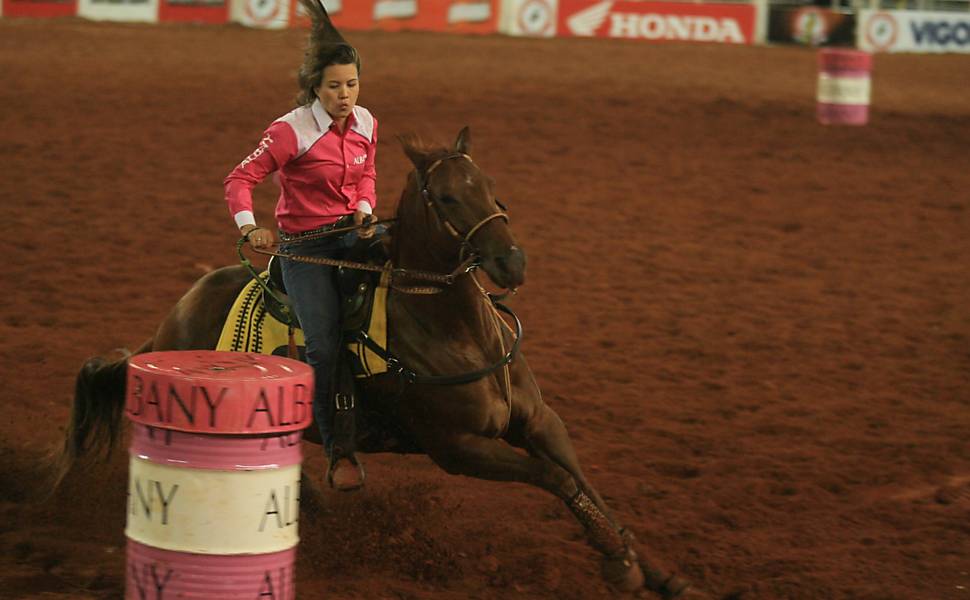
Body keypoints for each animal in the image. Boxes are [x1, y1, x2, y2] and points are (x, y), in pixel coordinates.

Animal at [58, 127, 720, 600]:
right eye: (447, 196)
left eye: (490, 184)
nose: (511, 263)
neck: (455, 329)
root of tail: (165, 327)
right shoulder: (458, 448)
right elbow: (556, 480)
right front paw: (620, 566)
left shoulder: (538, 422)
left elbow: (583, 484)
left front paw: (654, 570)